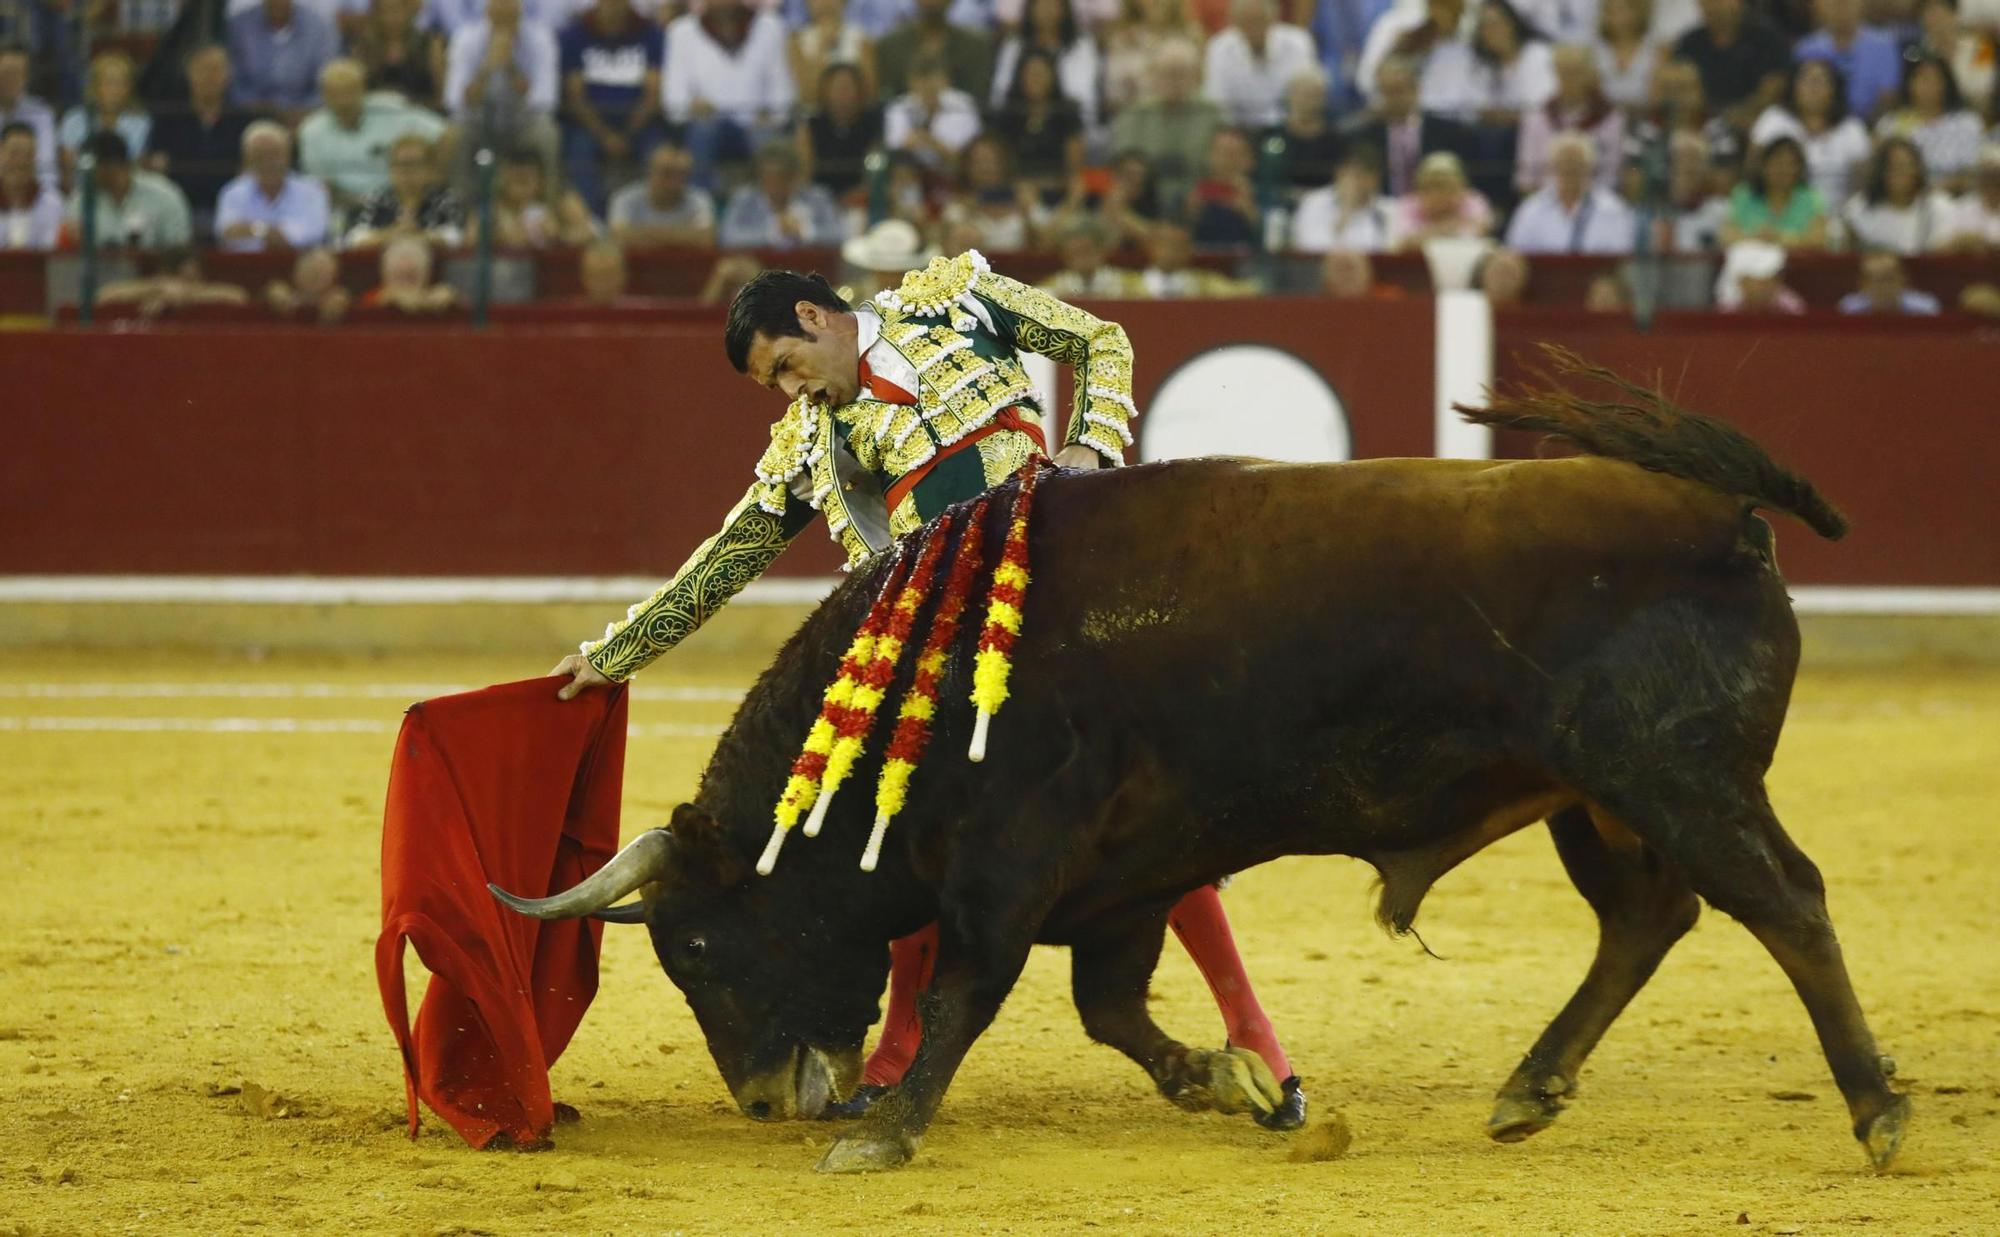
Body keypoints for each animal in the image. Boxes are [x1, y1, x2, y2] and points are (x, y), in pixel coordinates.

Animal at [496, 352, 1904, 1168]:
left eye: (695, 947)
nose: (759, 1103)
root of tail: (1725, 518)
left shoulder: (1012, 858)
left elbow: (967, 985)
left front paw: (889, 1132)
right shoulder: (1128, 867)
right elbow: (1108, 1005)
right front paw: (1232, 1083)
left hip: (1676, 777)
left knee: (1784, 904)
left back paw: (1875, 1111)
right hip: (1595, 800)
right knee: (1648, 916)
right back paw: (1526, 1086)